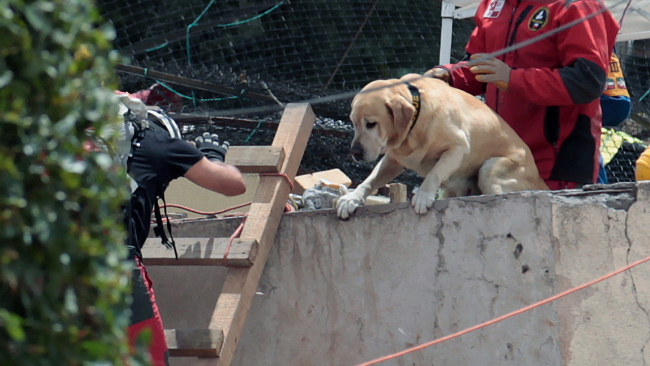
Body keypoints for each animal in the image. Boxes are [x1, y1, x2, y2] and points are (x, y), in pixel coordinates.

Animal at [334, 73, 548, 219]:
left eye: (371, 124)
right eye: (353, 123)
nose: (354, 152)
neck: (415, 121)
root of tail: (541, 182)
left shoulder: (458, 147)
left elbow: (434, 173)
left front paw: (423, 196)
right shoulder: (392, 161)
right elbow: (370, 180)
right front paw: (351, 198)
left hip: (491, 168)